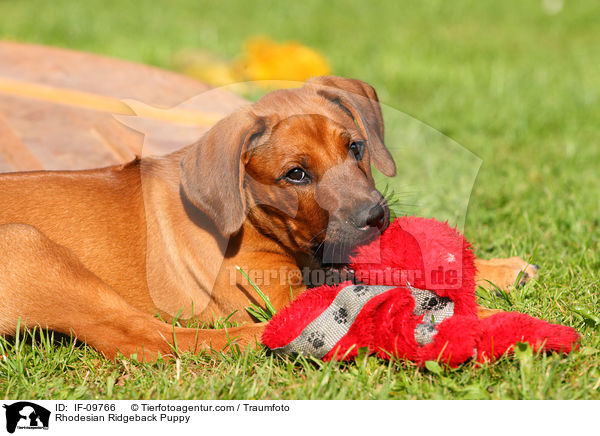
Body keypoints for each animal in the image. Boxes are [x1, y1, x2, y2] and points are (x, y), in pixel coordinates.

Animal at [0, 76, 540, 362]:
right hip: (27, 246)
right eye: (295, 174)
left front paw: (496, 271)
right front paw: (483, 319)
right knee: (147, 339)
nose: (375, 216)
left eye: (356, 148)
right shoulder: (281, 290)